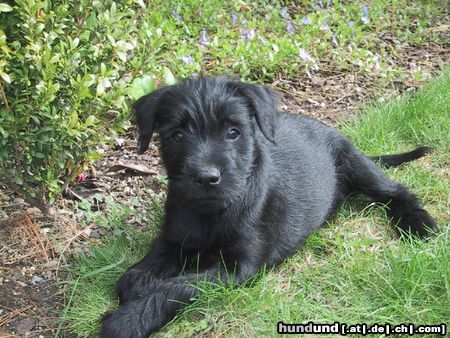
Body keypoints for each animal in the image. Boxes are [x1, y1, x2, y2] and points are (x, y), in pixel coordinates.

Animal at [100, 77, 438, 338]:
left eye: (233, 132)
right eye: (178, 135)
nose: (207, 177)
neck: (212, 212)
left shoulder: (238, 269)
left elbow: (179, 287)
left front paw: (127, 320)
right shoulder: (174, 236)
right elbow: (145, 266)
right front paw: (138, 283)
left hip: (356, 164)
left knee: (395, 192)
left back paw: (419, 223)